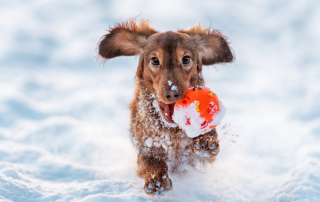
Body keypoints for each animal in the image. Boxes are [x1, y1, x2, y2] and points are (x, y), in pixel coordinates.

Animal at [97, 19, 232, 196]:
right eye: (155, 60)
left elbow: (207, 144)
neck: (171, 132)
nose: (172, 93)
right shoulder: (145, 146)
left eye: (186, 59)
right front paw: (156, 179)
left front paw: (205, 141)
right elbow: (151, 161)